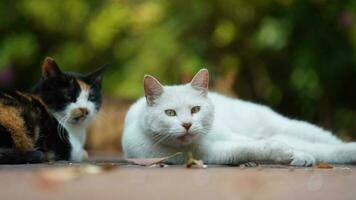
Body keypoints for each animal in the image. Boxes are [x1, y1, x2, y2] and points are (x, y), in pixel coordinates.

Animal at [122, 69, 356, 166]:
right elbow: (250, 149)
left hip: (287, 126)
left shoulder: (231, 137)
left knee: (325, 142)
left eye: (196, 109)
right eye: (170, 113)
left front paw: (295, 155)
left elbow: (263, 144)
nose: (187, 124)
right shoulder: (212, 153)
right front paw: (288, 154)